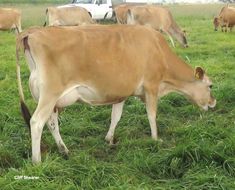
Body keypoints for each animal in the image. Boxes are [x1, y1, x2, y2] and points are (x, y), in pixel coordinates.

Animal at [15, 24, 216, 163]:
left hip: (50, 99)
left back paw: (64, 150)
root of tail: (32, 32)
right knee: (36, 122)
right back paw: (37, 161)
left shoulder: (121, 94)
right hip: (50, 94)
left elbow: (115, 117)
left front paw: (109, 139)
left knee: (51, 123)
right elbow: (151, 115)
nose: (213, 103)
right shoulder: (151, 86)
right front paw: (155, 139)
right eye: (210, 86)